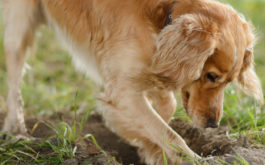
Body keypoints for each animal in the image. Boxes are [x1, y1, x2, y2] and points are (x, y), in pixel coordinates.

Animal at [1, 0, 262, 164]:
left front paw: (150, 150)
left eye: (229, 81)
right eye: (211, 76)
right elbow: (168, 133)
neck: (162, 19)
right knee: (14, 78)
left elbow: (163, 112)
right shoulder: (122, 91)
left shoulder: (150, 69)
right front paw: (190, 159)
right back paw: (16, 130)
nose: (213, 125)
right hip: (20, 22)